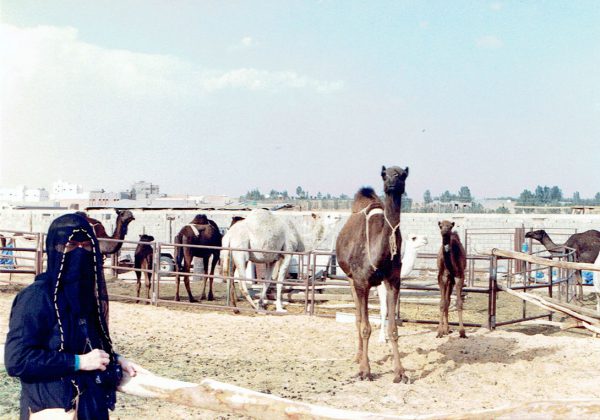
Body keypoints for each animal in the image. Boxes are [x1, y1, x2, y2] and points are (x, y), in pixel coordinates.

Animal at [336, 166, 410, 382]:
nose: (392, 183)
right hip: (351, 279)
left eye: (402, 175)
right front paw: (365, 371)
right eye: (385, 175)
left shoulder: (393, 282)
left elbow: (393, 329)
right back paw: (358, 357)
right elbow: (365, 327)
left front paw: (400, 373)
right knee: (358, 318)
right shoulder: (362, 282)